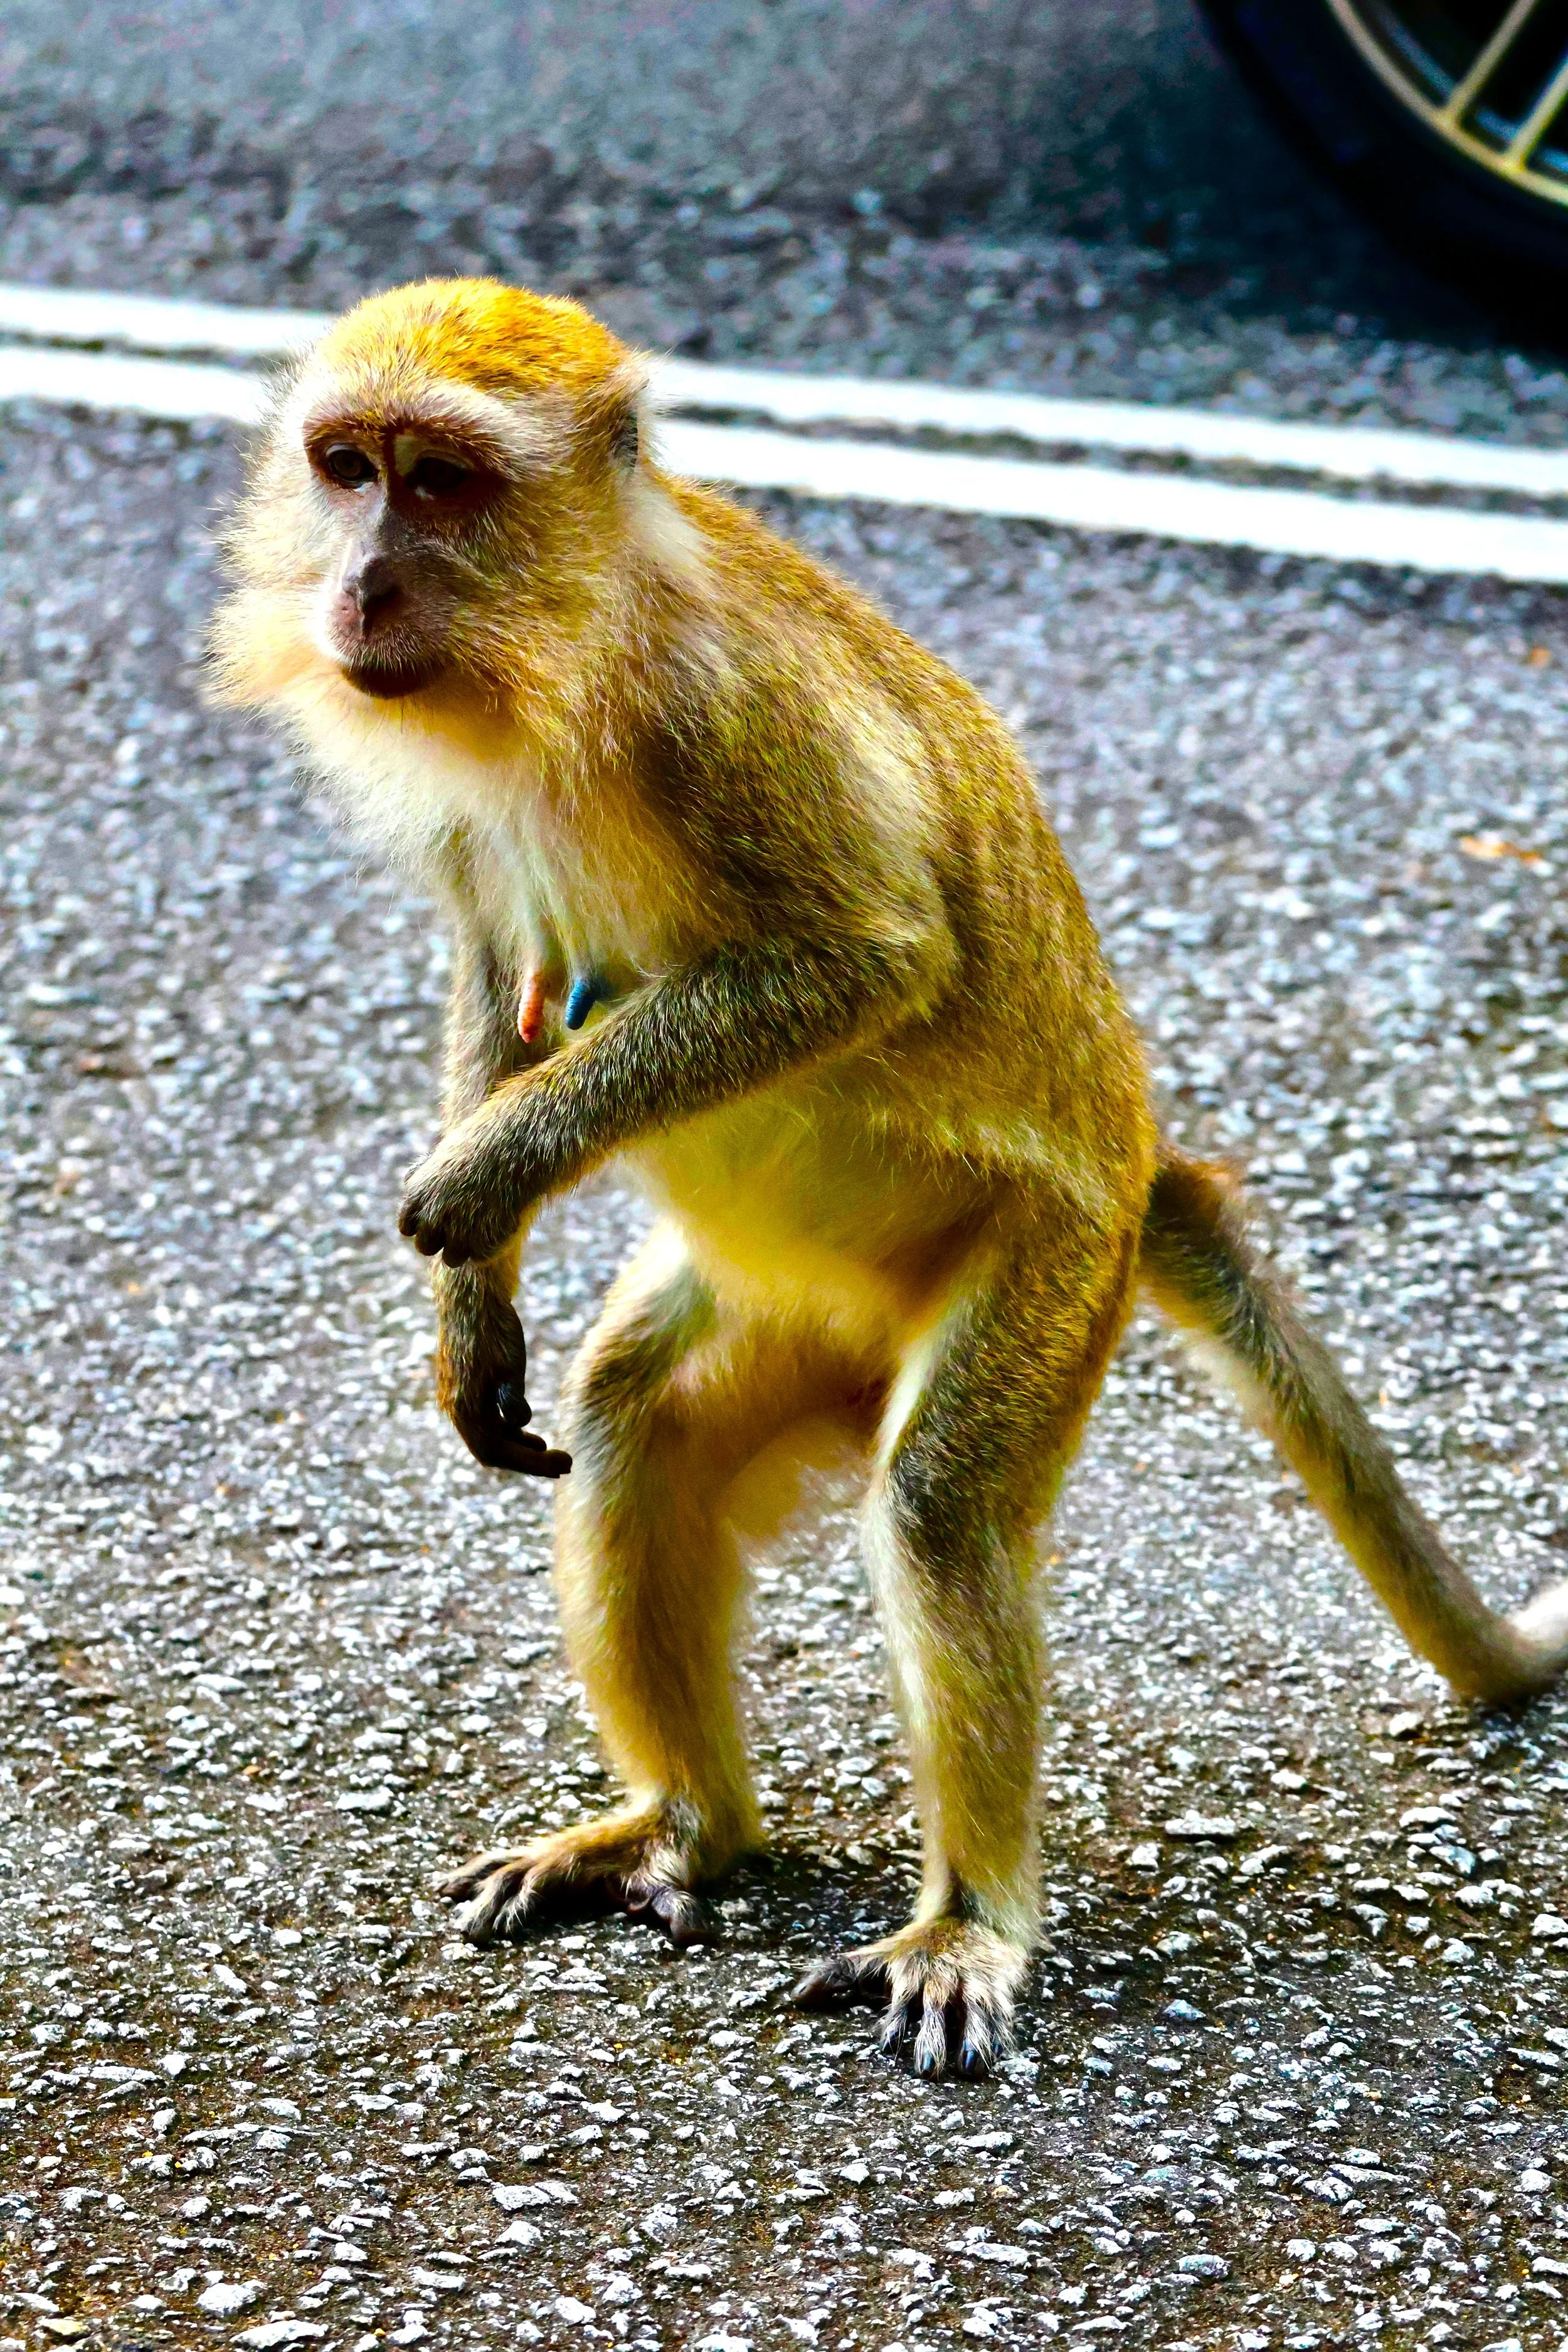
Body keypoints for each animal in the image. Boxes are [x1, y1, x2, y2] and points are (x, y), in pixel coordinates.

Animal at [211, 276, 1568, 2080]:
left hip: (1050, 1261)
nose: (359, 581)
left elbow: (865, 960)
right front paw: (471, 1302)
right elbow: (497, 958)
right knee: (635, 1413)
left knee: (934, 1505)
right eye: (347, 466)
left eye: (440, 483)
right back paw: (687, 1824)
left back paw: (967, 1919)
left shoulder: (728, 716)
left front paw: (498, 1163)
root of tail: (1138, 1164)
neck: (568, 648)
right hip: (792, 1301)